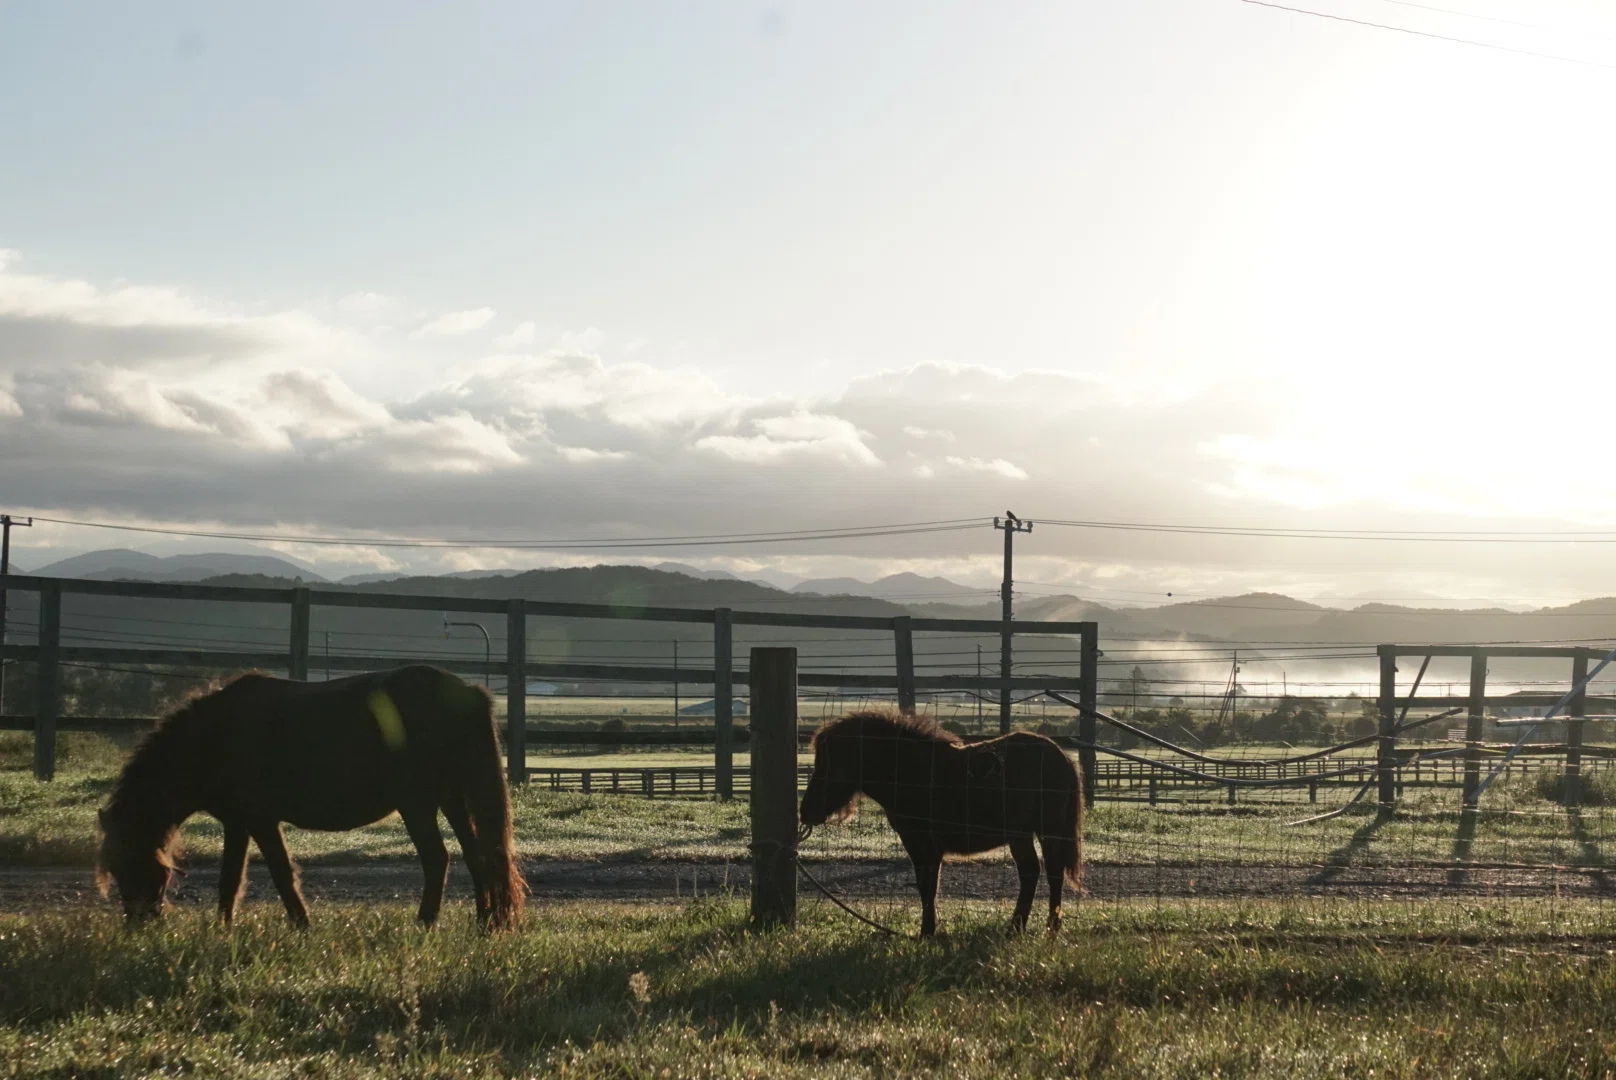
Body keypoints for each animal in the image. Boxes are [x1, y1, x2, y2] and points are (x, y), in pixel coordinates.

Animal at [96, 664, 526, 930]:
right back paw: (485, 924)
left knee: (438, 859)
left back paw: (425, 923)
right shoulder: (238, 822)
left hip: (418, 804)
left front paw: (302, 925)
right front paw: (223, 929)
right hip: (451, 799)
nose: (140, 926)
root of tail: (465, 691)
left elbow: (281, 873)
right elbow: (230, 879)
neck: (215, 736)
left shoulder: (260, 819)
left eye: (132, 865)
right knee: (478, 857)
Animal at [799, 708, 1082, 937]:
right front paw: (929, 930)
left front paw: (927, 932)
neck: (914, 773)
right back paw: (1015, 928)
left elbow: (928, 886)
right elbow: (927, 886)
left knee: (1053, 872)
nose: (805, 812)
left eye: (831, 764)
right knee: (1030, 872)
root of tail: (1062, 756)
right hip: (1019, 834)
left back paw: (1050, 927)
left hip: (1049, 830)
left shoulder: (923, 844)